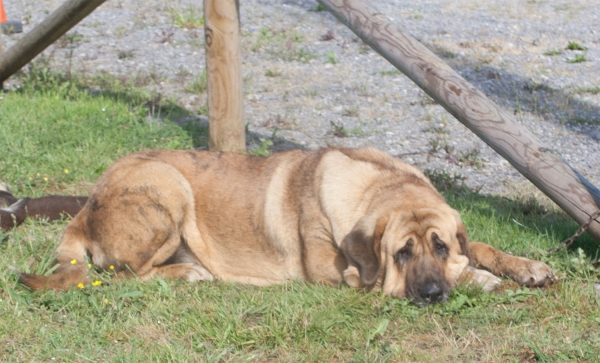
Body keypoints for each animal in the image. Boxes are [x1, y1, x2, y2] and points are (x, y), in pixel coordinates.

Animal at [18, 146, 552, 306]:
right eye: (402, 253)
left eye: (439, 246)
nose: (432, 294)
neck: (376, 187)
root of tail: (87, 206)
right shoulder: (343, 274)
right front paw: (479, 279)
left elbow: (480, 245)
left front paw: (525, 267)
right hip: (168, 186)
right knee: (121, 275)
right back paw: (187, 272)